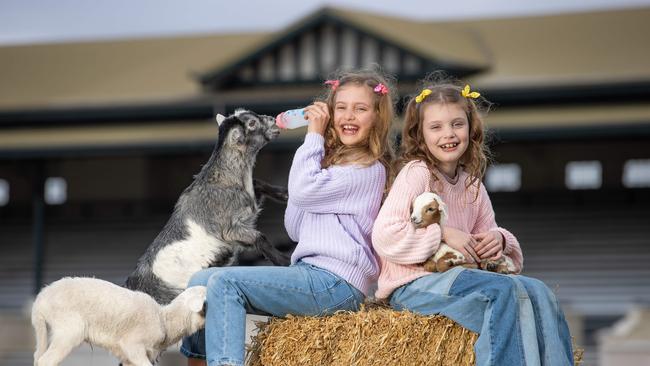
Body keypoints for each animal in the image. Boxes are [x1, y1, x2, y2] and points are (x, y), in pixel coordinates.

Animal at [31, 278, 205, 366]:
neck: (164, 319)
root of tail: (40, 299)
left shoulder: (128, 358)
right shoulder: (132, 344)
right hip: (69, 329)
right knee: (45, 360)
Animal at [125, 110, 288, 304]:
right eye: (252, 124)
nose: (272, 119)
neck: (224, 177)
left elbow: (258, 184)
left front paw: (284, 193)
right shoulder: (230, 230)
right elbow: (259, 237)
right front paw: (285, 261)